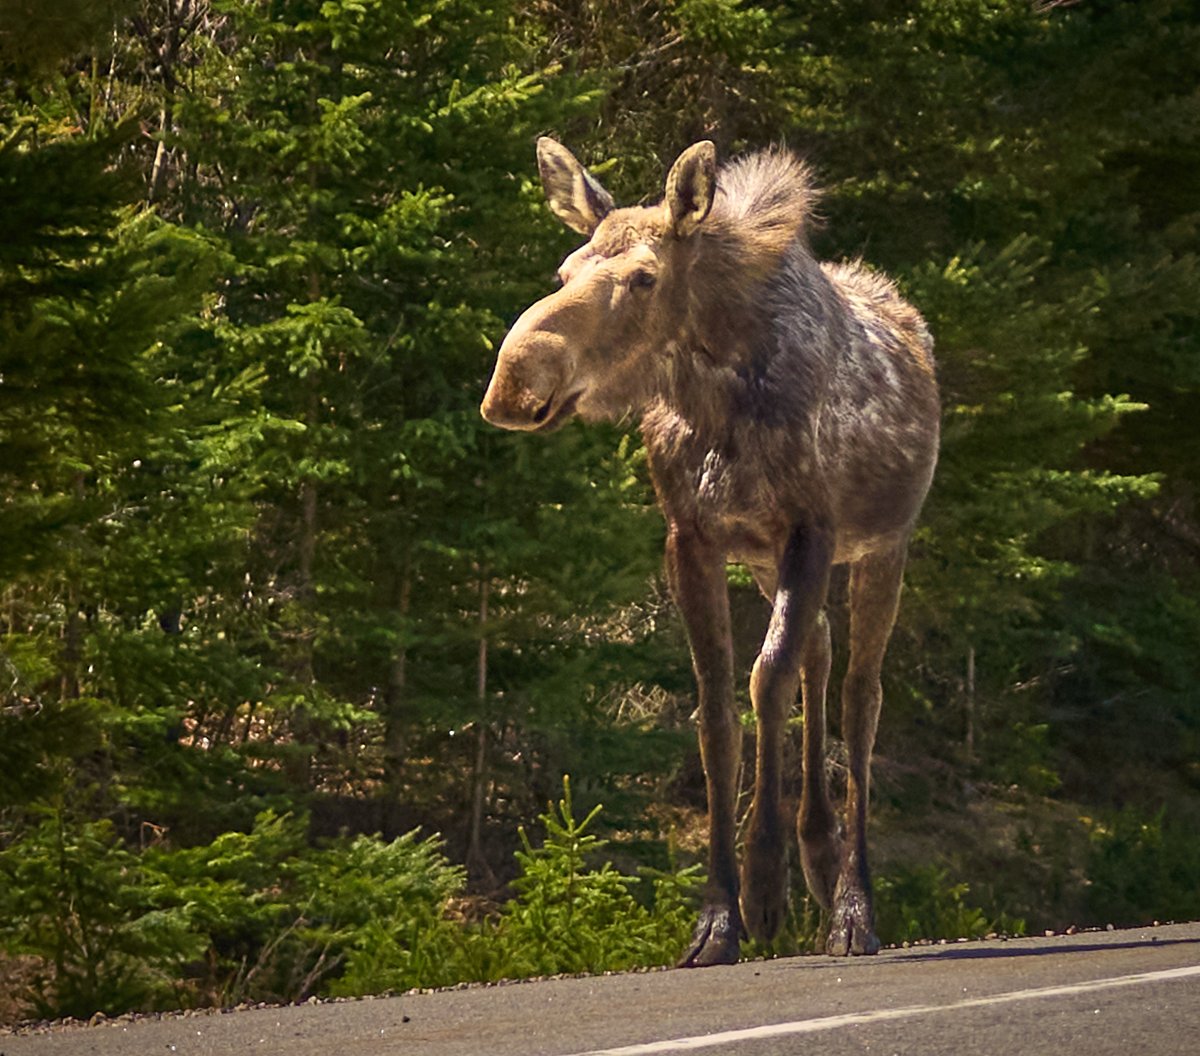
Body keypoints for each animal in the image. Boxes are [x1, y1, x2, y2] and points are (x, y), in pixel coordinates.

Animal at [480, 137, 939, 965]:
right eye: (564, 271)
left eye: (644, 277)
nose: (515, 382)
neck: (716, 396)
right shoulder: (692, 536)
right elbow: (716, 708)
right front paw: (718, 917)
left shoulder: (811, 527)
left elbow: (765, 679)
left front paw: (763, 890)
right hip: (765, 559)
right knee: (821, 650)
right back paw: (819, 853)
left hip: (883, 544)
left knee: (861, 695)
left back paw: (852, 905)